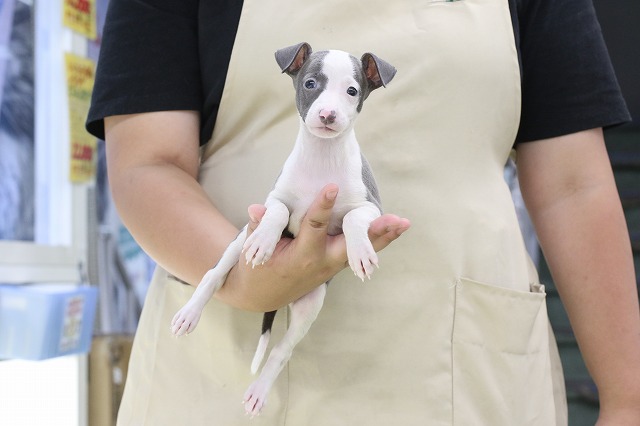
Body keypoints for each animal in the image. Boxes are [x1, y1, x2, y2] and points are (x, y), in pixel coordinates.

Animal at [170, 42, 396, 416]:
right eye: (310, 84)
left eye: (352, 91)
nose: (328, 114)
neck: (322, 157)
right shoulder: (275, 199)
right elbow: (276, 212)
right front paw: (265, 241)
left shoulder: (372, 206)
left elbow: (352, 218)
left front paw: (361, 252)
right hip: (237, 241)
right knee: (213, 274)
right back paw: (189, 313)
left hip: (310, 304)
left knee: (281, 350)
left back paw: (260, 390)